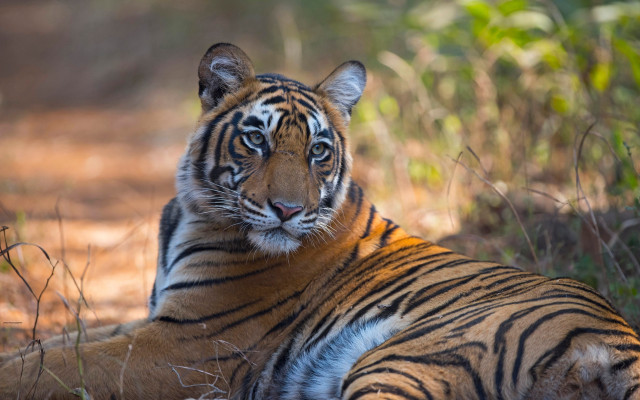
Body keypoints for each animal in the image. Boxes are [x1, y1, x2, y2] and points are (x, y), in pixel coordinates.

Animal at [1, 42, 639, 400]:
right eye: (256, 140)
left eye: (318, 152)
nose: (287, 210)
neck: (190, 210)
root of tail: (612, 342)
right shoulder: (157, 317)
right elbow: (49, 345)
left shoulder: (187, 342)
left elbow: (53, 366)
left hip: (403, 358)